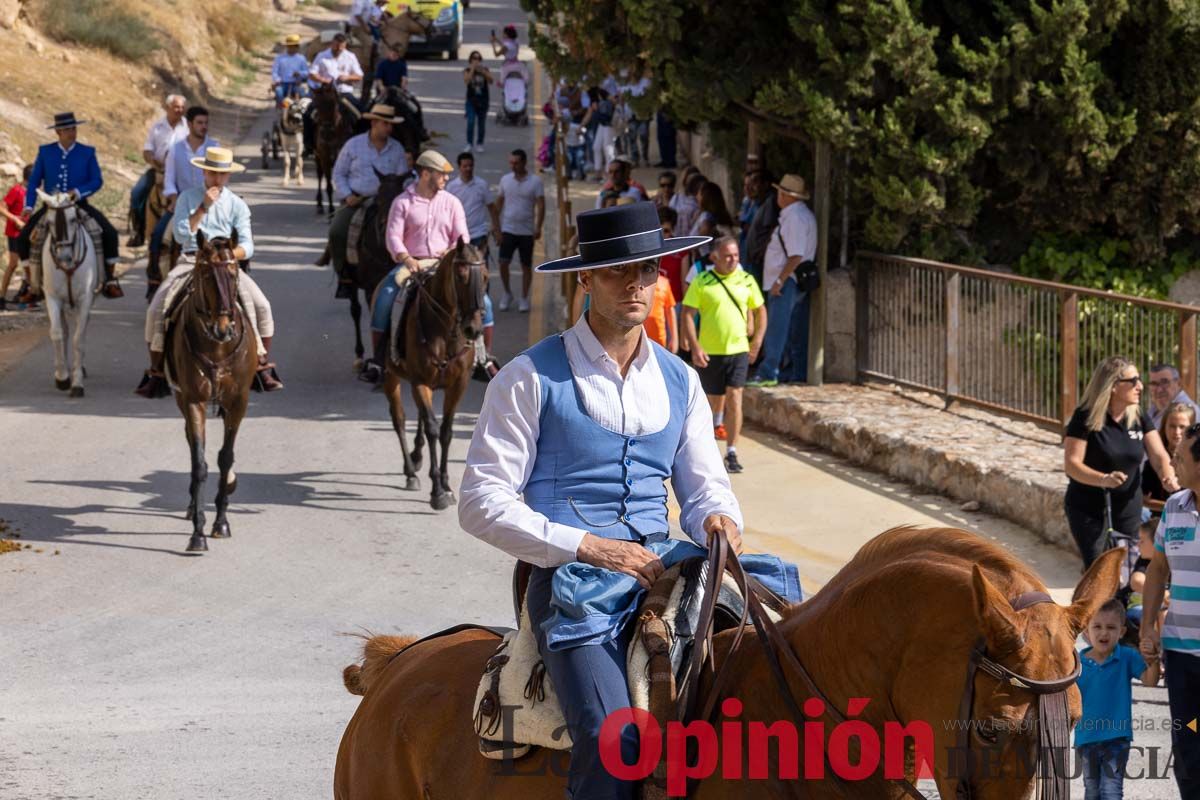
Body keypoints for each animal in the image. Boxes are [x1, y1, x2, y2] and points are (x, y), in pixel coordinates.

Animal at [36, 190, 97, 398]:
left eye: (72, 219)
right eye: (49, 222)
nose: (63, 257)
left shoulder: (85, 299)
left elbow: (79, 340)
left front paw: (77, 383)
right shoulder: (53, 298)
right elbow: (57, 333)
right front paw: (62, 378)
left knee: (80, 332)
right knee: (65, 330)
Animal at [164, 235, 258, 554]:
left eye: (233, 273)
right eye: (205, 275)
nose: (223, 328)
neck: (217, 347)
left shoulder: (238, 401)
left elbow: (225, 458)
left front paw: (221, 522)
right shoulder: (194, 400)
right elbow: (200, 463)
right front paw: (198, 533)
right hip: (181, 398)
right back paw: (193, 505)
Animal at [312, 85, 350, 215]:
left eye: (333, 103)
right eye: (316, 104)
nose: (325, 131)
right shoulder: (325, 159)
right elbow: (329, 186)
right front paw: (331, 210)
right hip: (317, 157)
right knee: (319, 175)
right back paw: (319, 204)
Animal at [376, 241, 484, 510]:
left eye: (486, 276)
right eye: (461, 275)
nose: (473, 329)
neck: (445, 332)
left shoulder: (458, 384)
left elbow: (445, 431)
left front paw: (446, 485)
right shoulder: (420, 382)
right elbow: (433, 430)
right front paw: (437, 492)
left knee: (421, 419)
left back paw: (416, 457)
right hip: (391, 377)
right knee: (400, 419)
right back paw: (410, 472)